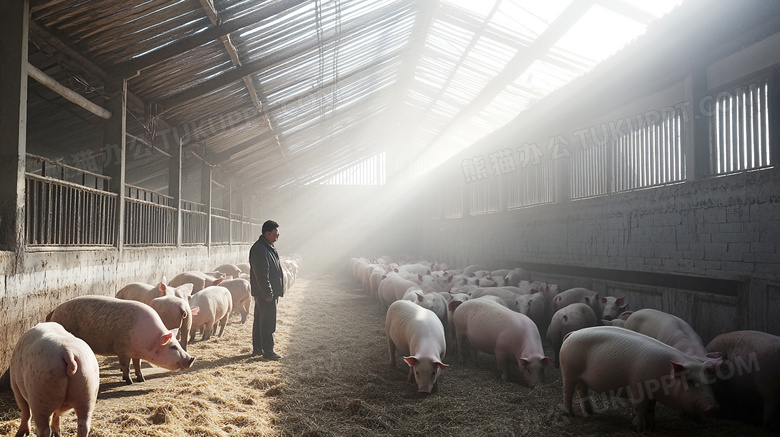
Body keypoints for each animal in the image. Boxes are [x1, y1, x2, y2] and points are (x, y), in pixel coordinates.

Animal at [560, 326, 720, 430]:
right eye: (690, 381)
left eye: (709, 382)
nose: (713, 406)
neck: (662, 376)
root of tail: (572, 334)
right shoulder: (637, 387)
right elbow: (639, 408)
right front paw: (637, 428)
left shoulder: (652, 395)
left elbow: (650, 409)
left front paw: (652, 426)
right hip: (569, 371)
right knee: (567, 392)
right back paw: (570, 414)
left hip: (581, 377)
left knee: (582, 390)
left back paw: (590, 412)